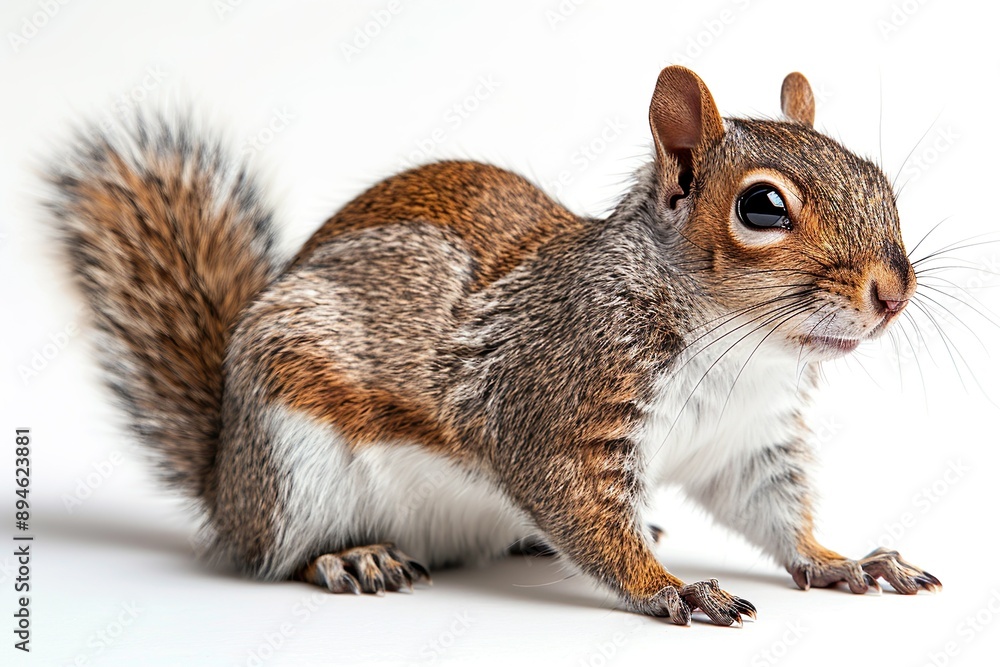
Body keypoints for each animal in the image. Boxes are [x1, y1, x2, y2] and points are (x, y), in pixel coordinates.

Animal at [47, 66, 941, 626]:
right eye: (761, 208)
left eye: (876, 179)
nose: (893, 291)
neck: (741, 348)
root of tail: (225, 475)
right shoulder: (557, 400)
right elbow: (582, 508)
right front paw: (670, 589)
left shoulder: (747, 442)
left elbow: (773, 512)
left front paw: (842, 559)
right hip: (290, 455)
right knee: (270, 553)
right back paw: (350, 558)